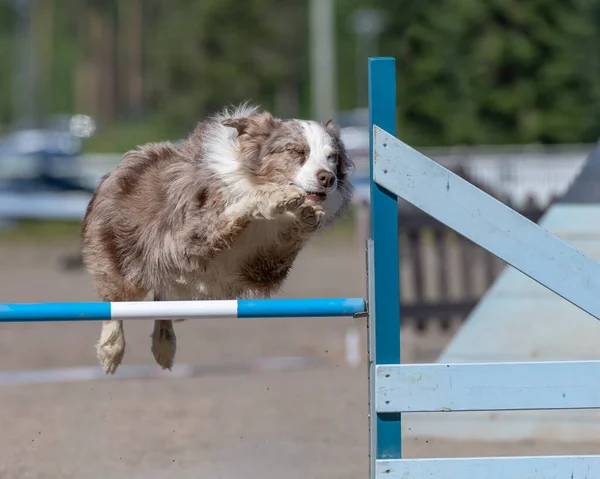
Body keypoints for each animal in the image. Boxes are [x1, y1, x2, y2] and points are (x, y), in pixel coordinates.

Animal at [79, 105, 352, 376]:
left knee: (162, 303)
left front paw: (306, 218)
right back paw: (111, 350)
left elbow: (286, 239)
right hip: (125, 265)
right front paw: (272, 198)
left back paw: (164, 346)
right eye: (297, 152)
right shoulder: (188, 239)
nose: (328, 178)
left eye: (332, 157)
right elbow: (240, 207)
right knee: (114, 302)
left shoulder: (261, 266)